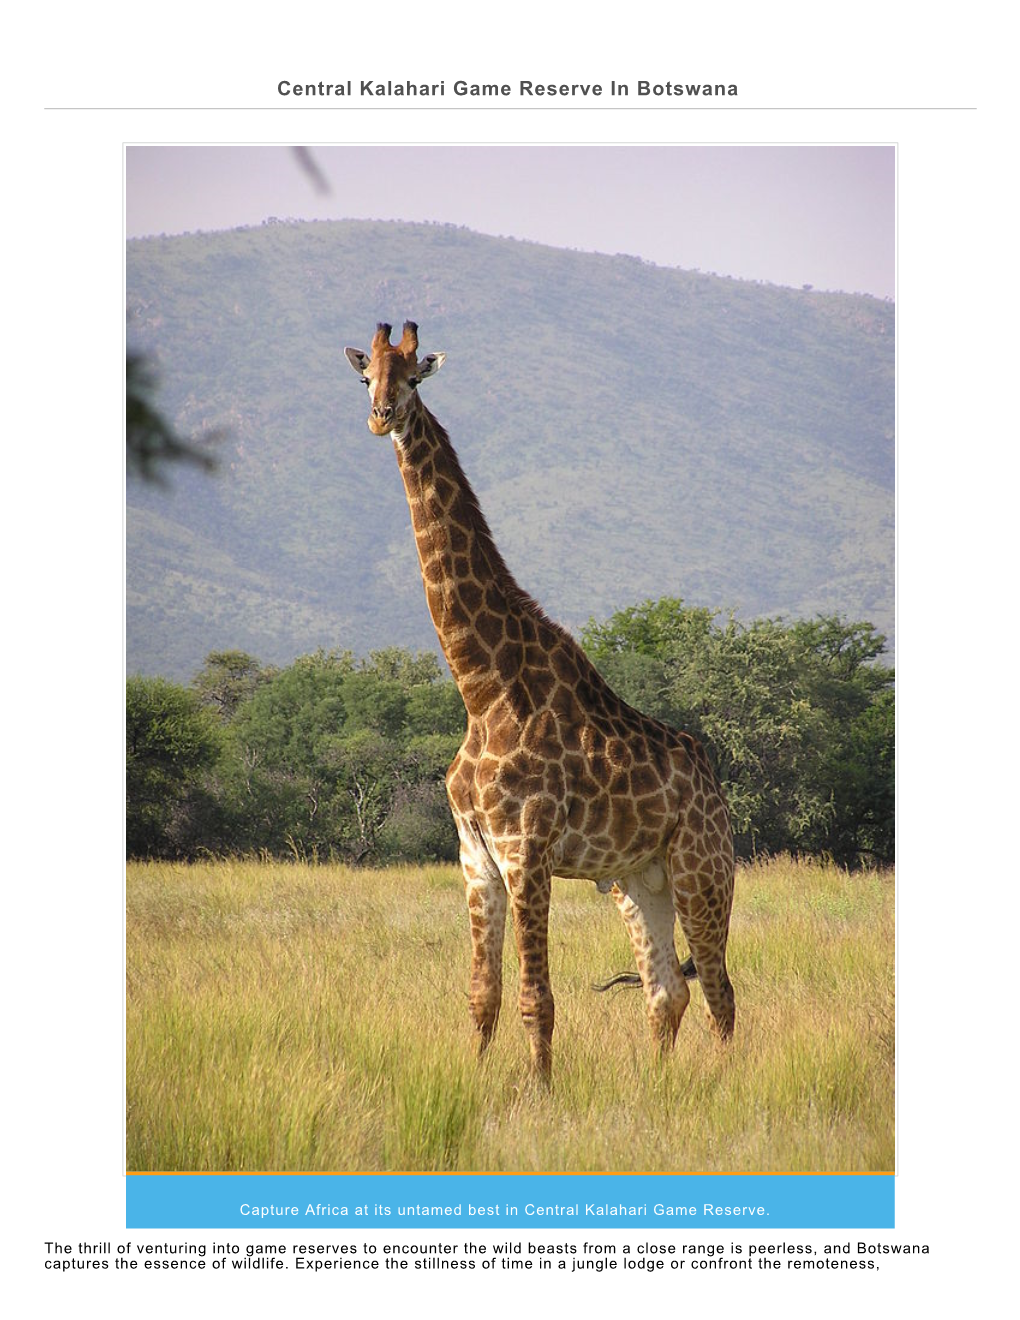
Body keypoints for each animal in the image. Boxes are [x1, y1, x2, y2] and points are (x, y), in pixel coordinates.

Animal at [343, 322, 733, 1082]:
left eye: (414, 377)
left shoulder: (527, 848)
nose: (380, 417)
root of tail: (714, 785)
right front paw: (472, 1083)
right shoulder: (475, 855)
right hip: (637, 879)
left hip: (703, 869)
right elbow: (482, 994)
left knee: (721, 992)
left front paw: (539, 1092)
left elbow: (536, 998)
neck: (481, 687)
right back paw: (658, 1085)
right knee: (666, 990)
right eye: (365, 375)